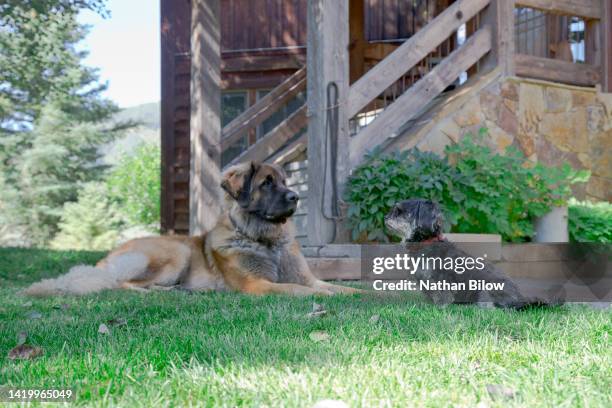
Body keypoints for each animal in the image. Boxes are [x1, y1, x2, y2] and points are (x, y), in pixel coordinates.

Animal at [25, 162, 358, 296]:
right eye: (266, 183)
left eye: (286, 182)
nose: (295, 197)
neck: (265, 240)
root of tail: (107, 258)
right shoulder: (258, 285)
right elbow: (300, 289)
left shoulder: (308, 277)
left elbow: (342, 288)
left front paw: (358, 294)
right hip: (176, 253)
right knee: (122, 284)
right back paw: (157, 293)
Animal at [388, 198, 560, 310]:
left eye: (399, 212)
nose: (386, 217)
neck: (426, 242)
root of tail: (519, 299)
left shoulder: (440, 280)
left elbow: (442, 298)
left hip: (486, 290)